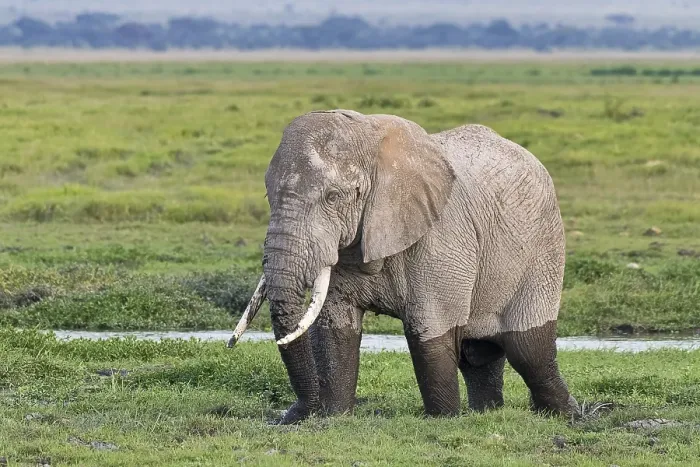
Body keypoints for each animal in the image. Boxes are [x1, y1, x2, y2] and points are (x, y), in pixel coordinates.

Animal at [229, 109, 580, 425]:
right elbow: (335, 329)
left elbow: (430, 330)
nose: (294, 414)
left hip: (543, 246)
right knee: (478, 354)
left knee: (528, 350)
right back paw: (488, 413)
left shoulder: (441, 236)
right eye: (268, 195)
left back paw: (568, 415)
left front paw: (443, 419)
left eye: (333, 197)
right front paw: (333, 417)